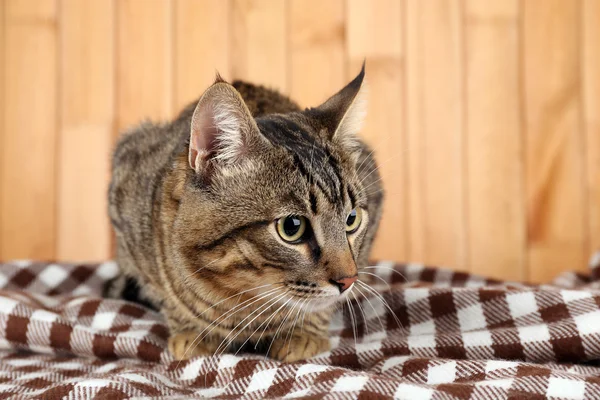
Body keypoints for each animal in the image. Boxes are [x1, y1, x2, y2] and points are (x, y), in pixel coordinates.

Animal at [108, 66, 384, 362]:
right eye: (292, 226)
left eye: (351, 219)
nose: (348, 281)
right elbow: (167, 296)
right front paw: (193, 332)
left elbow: (322, 307)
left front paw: (305, 333)